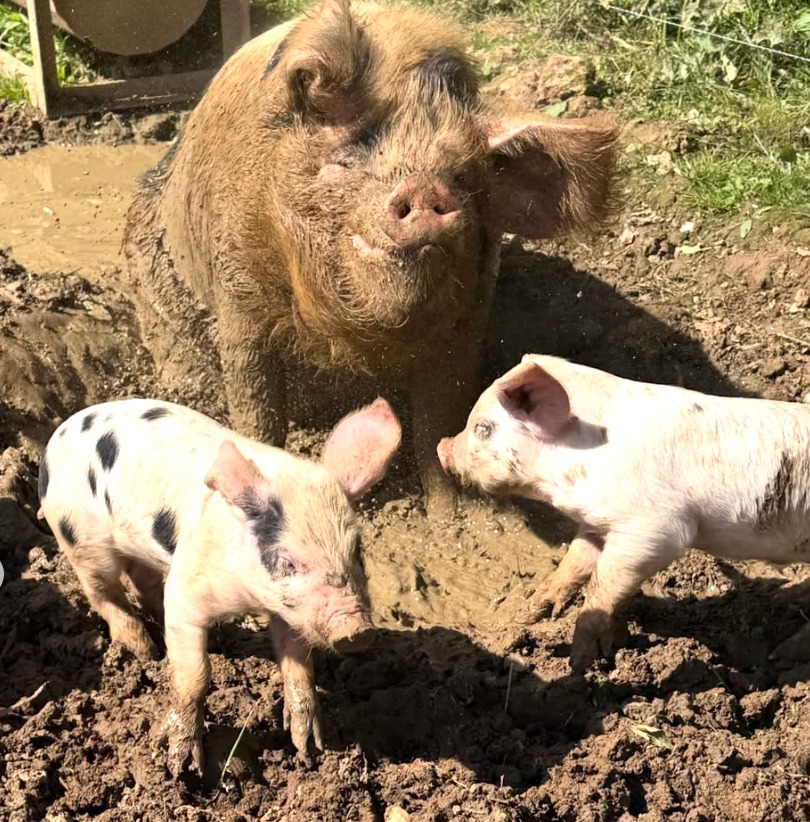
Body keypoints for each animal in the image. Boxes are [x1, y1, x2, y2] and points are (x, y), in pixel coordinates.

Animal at [38, 397, 401, 775]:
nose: (357, 630)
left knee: (142, 581)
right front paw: (180, 765)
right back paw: (144, 652)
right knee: (103, 594)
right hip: (80, 539)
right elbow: (195, 674)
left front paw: (309, 746)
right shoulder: (187, 590)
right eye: (287, 561)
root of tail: (57, 436)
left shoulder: (290, 611)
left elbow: (298, 663)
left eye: (357, 550)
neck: (251, 597)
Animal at [123, 0, 619, 516]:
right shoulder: (238, 302)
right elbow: (256, 411)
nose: (425, 189)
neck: (351, 345)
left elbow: (435, 427)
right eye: (346, 160)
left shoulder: (464, 330)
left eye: (463, 175)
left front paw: (449, 519)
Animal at [438, 355, 810, 672]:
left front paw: (579, 665)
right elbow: (574, 564)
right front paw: (529, 613)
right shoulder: (595, 523)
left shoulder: (656, 529)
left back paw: (780, 656)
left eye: (483, 428)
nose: (441, 447)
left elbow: (603, 583)